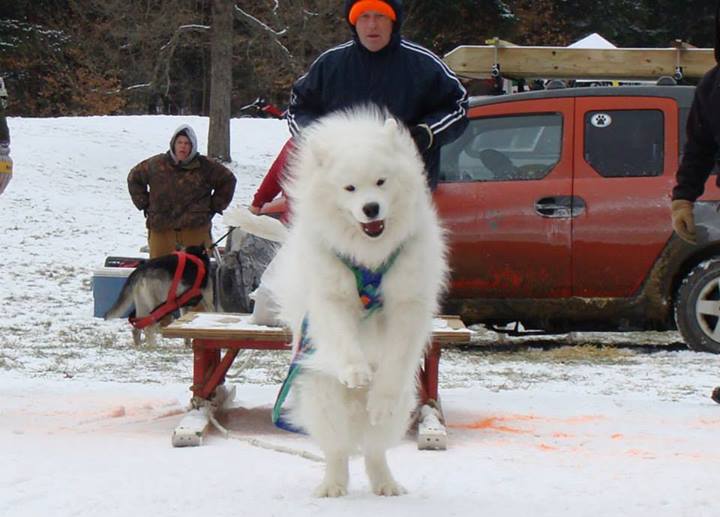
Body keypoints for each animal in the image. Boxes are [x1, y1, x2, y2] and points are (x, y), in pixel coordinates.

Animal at [272, 106, 450, 496]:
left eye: (381, 182)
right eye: (349, 188)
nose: (371, 208)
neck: (369, 256)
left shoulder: (406, 303)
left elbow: (396, 357)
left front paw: (378, 392)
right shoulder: (331, 296)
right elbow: (343, 337)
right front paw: (356, 371)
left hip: (401, 407)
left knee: (374, 450)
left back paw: (386, 484)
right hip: (322, 398)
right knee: (337, 450)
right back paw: (332, 486)